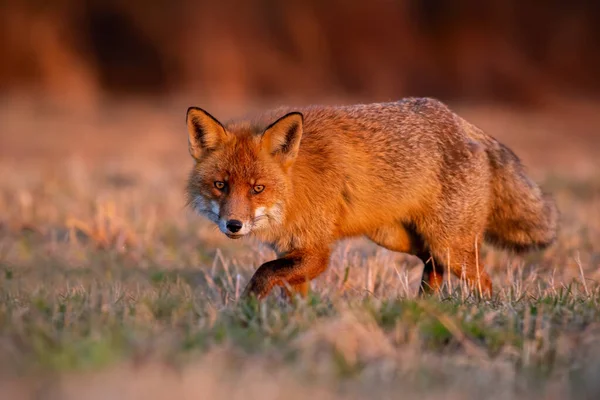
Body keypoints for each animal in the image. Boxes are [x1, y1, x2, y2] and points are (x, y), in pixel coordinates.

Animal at [184, 98, 556, 298]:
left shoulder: (316, 252)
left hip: (451, 246)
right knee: (433, 267)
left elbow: (263, 273)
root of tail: (459, 121)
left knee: (484, 280)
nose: (233, 225)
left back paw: (481, 311)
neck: (295, 187)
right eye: (220, 185)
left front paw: (246, 309)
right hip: (401, 239)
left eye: (257, 188)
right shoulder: (293, 252)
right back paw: (422, 308)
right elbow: (290, 291)